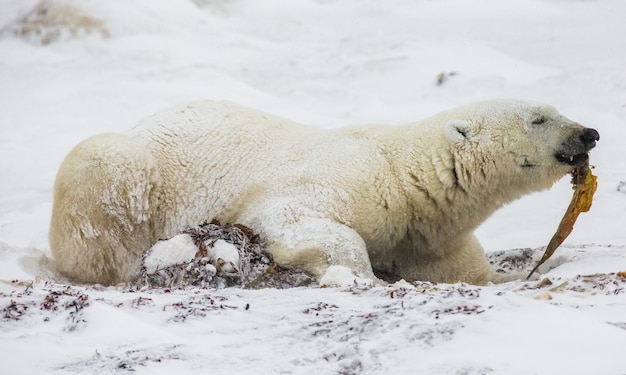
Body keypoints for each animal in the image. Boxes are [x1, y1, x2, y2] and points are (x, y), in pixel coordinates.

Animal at [47, 100, 596, 284]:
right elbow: (295, 217)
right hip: (135, 166)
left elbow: (460, 269)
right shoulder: (351, 176)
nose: (588, 134)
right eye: (539, 118)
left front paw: (514, 277)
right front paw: (359, 277)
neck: (408, 178)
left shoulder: (427, 234)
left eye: (554, 108)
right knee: (100, 171)